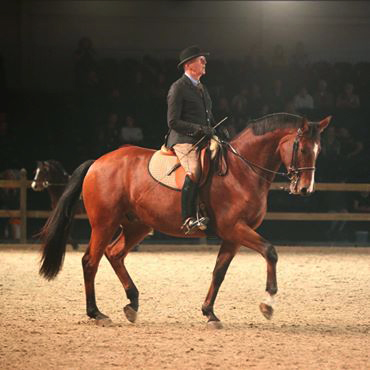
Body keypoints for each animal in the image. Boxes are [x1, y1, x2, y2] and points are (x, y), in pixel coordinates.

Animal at [39, 112, 330, 326]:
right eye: (303, 149)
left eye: (318, 150)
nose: (305, 188)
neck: (242, 171)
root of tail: (98, 162)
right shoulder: (235, 228)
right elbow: (270, 252)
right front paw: (267, 304)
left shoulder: (233, 235)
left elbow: (219, 272)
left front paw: (209, 313)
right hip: (104, 223)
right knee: (91, 261)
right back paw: (96, 313)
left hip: (137, 225)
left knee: (114, 254)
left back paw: (132, 303)